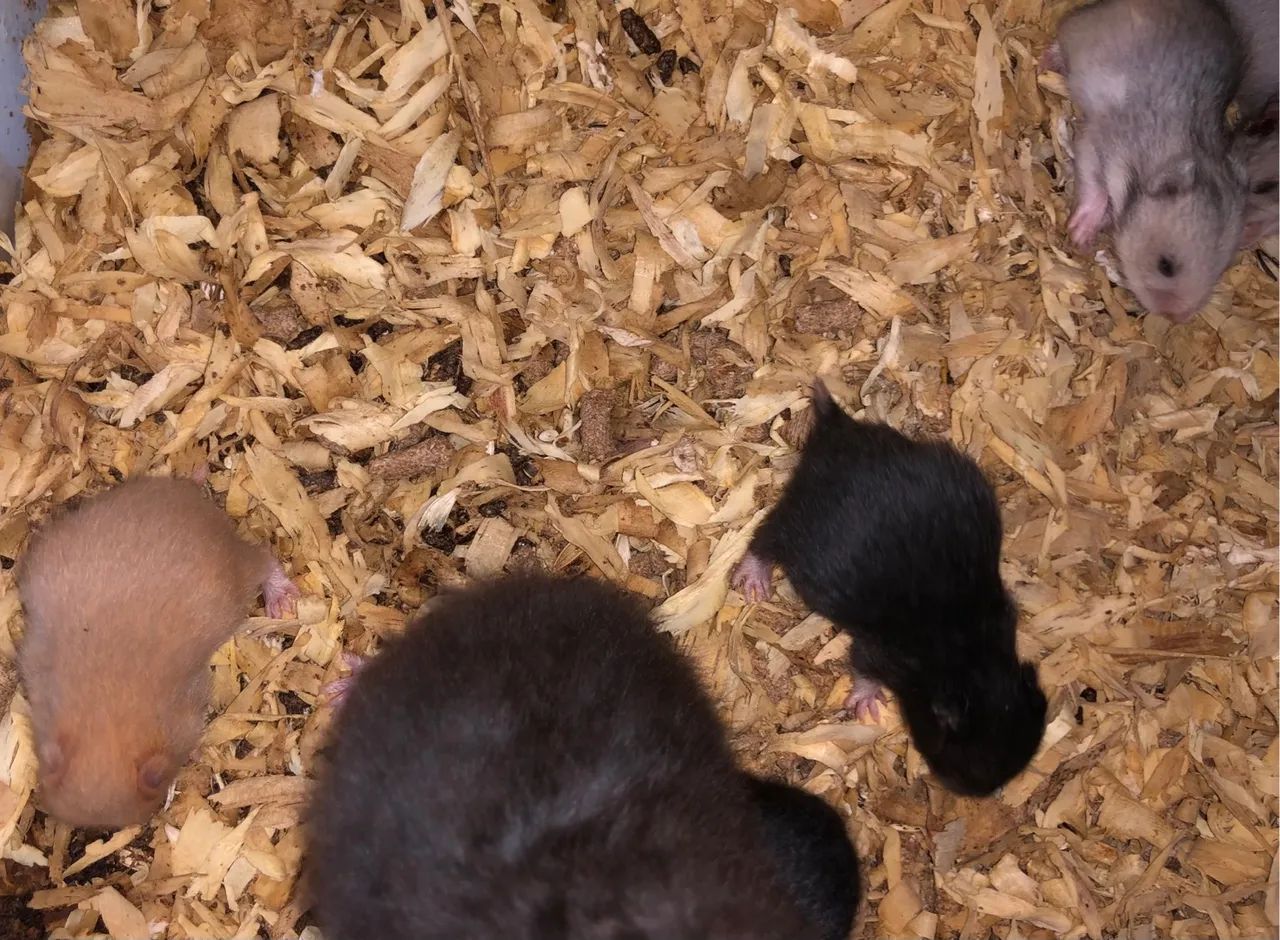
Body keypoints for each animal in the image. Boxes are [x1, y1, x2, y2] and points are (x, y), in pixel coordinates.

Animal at [732, 381, 1047, 797]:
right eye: (961, 763)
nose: (972, 795)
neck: (972, 660)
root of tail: (839, 428)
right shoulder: (884, 653)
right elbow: (862, 668)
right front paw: (867, 706)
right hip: (801, 525)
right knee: (765, 538)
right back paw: (753, 582)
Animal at [1047, 0, 1247, 322]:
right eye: (1165, 266)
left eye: (1220, 270)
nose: (1175, 319)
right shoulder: (1095, 143)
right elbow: (1093, 187)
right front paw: (1080, 235)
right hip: (1080, 29)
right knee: (1063, 32)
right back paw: (1049, 60)